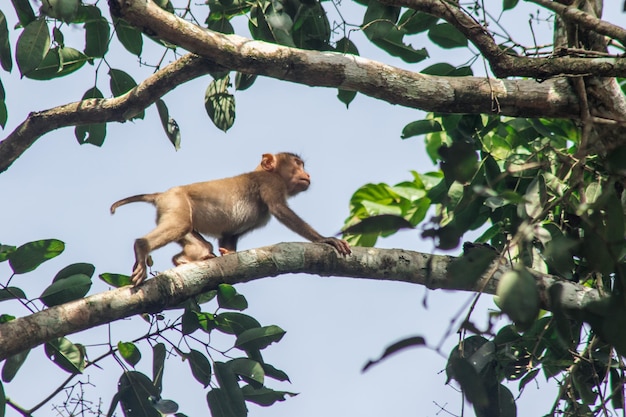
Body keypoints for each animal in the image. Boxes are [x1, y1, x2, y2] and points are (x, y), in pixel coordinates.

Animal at [109, 153, 348, 286]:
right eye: (297, 164)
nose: (307, 175)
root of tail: (160, 194)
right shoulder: (269, 183)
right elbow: (280, 209)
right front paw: (324, 240)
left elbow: (229, 235)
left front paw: (228, 253)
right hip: (175, 202)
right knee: (180, 225)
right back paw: (142, 247)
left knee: (199, 241)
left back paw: (186, 259)